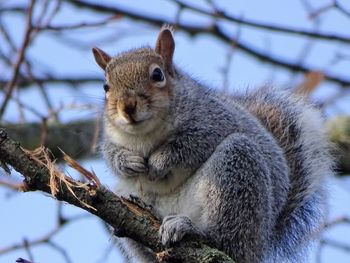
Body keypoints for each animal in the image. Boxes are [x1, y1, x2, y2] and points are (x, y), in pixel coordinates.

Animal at [91, 25, 332, 262]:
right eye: (105, 86)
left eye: (157, 74)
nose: (127, 107)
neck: (145, 134)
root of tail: (260, 243)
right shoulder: (111, 137)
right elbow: (109, 153)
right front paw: (127, 161)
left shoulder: (214, 120)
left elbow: (190, 145)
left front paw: (159, 161)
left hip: (238, 169)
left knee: (226, 240)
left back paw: (191, 229)